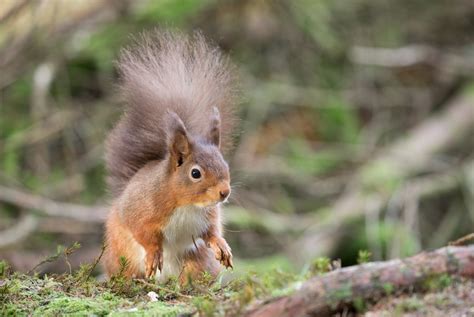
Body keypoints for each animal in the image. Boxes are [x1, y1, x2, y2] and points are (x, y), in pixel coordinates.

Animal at [103, 28, 237, 282]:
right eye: (195, 173)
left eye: (225, 165)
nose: (224, 192)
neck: (187, 204)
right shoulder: (139, 210)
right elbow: (142, 233)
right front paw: (154, 254)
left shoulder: (207, 218)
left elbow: (212, 233)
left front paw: (221, 245)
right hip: (121, 254)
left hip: (196, 262)